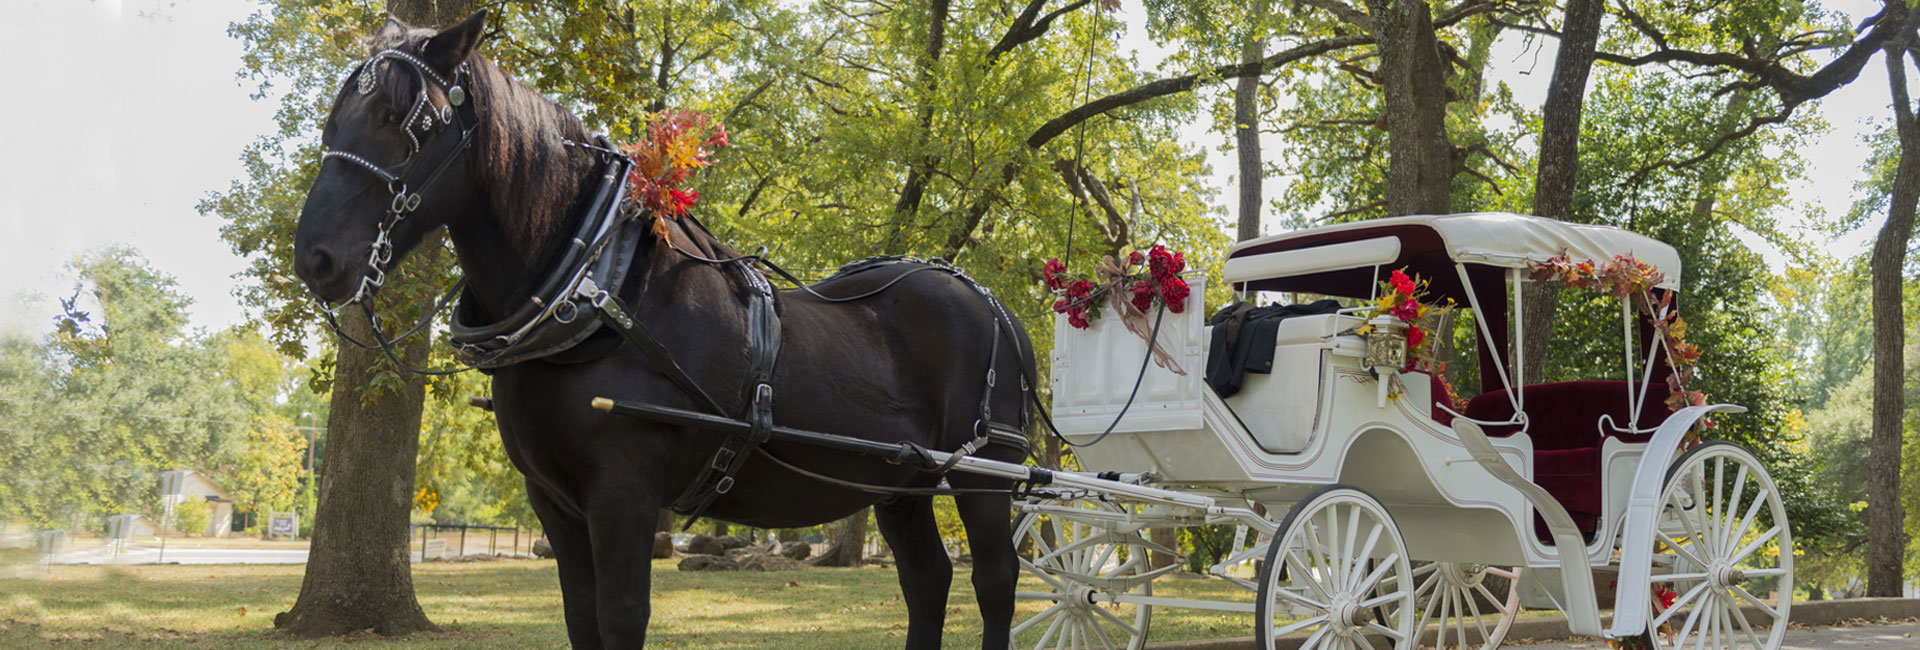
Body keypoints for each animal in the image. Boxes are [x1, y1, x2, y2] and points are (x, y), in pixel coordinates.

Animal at [291, 11, 1036, 650]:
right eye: (335, 117)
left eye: (405, 118)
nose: (315, 258)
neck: (597, 289)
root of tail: (987, 300)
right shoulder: (555, 504)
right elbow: (581, 617)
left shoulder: (624, 494)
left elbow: (621, 617)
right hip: (899, 485)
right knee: (928, 581)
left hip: (987, 476)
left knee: (995, 582)